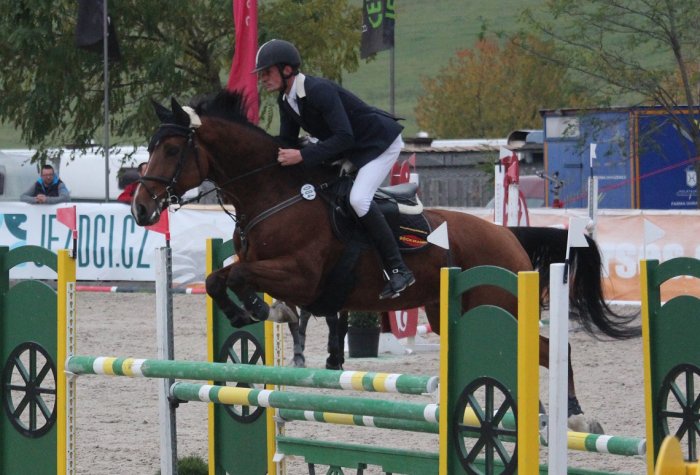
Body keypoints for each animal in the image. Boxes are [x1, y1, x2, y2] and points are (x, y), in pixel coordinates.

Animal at [132, 90, 639, 433]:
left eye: (172, 150)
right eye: (151, 147)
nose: (141, 209)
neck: (275, 193)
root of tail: (507, 235)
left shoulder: (301, 275)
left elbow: (237, 274)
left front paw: (257, 309)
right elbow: (219, 277)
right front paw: (254, 310)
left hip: (498, 303)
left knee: (553, 350)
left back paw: (576, 417)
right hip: (450, 311)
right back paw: (542, 413)